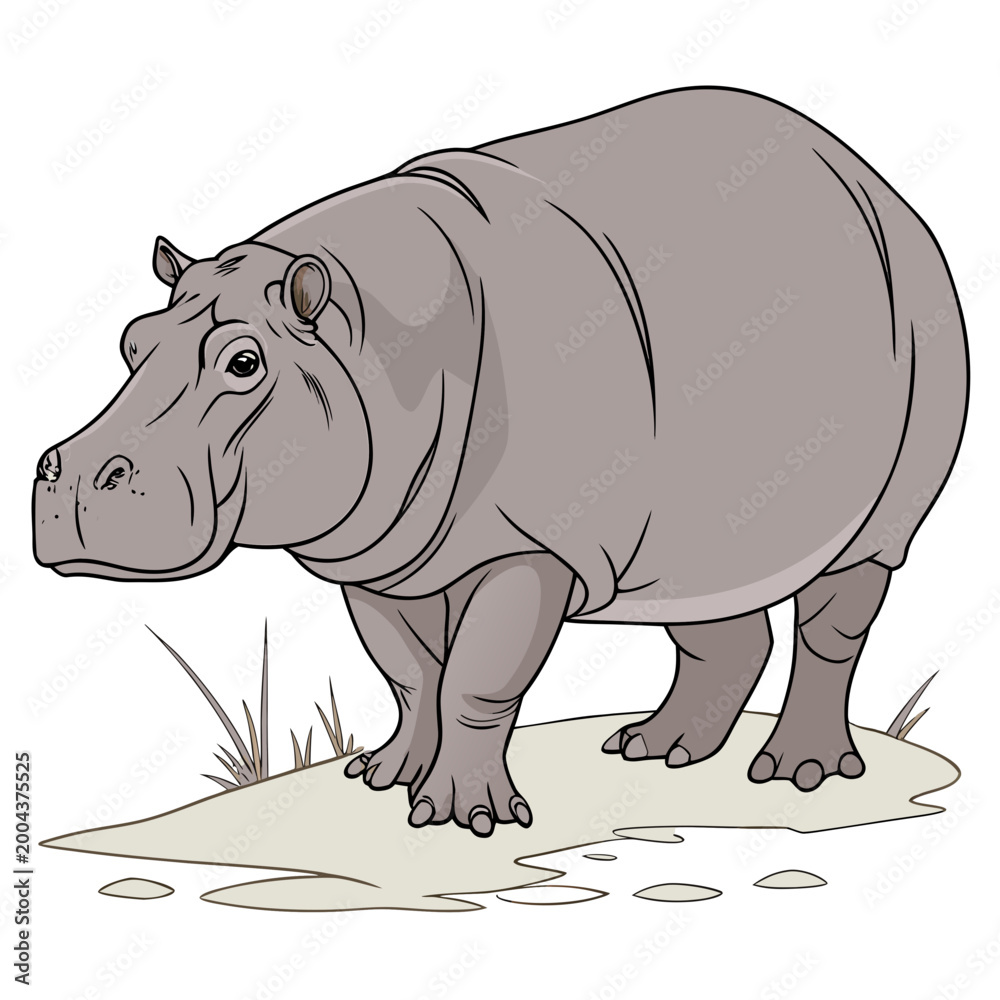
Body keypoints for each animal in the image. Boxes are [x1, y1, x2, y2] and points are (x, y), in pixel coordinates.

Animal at [33, 87, 969, 837]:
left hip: (892, 481)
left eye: (243, 362)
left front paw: (462, 821)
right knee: (720, 620)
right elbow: (410, 671)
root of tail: (884, 189)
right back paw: (653, 752)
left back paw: (795, 774)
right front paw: (383, 779)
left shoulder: (531, 550)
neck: (367, 339)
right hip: (699, 527)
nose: (72, 476)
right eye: (132, 340)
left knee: (837, 618)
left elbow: (478, 680)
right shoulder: (377, 552)